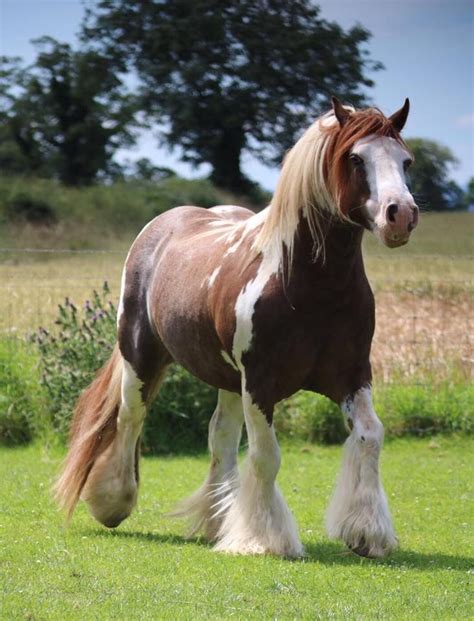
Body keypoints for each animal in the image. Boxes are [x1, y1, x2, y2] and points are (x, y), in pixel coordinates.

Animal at [54, 97, 418, 556]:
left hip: (227, 380)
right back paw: (113, 502)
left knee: (220, 438)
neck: (311, 286)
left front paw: (366, 532)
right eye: (356, 158)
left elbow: (370, 436)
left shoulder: (351, 375)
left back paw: (217, 520)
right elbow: (266, 455)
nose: (400, 215)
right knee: (128, 419)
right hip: (142, 357)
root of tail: (161, 226)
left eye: (405, 161)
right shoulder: (260, 381)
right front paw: (264, 538)